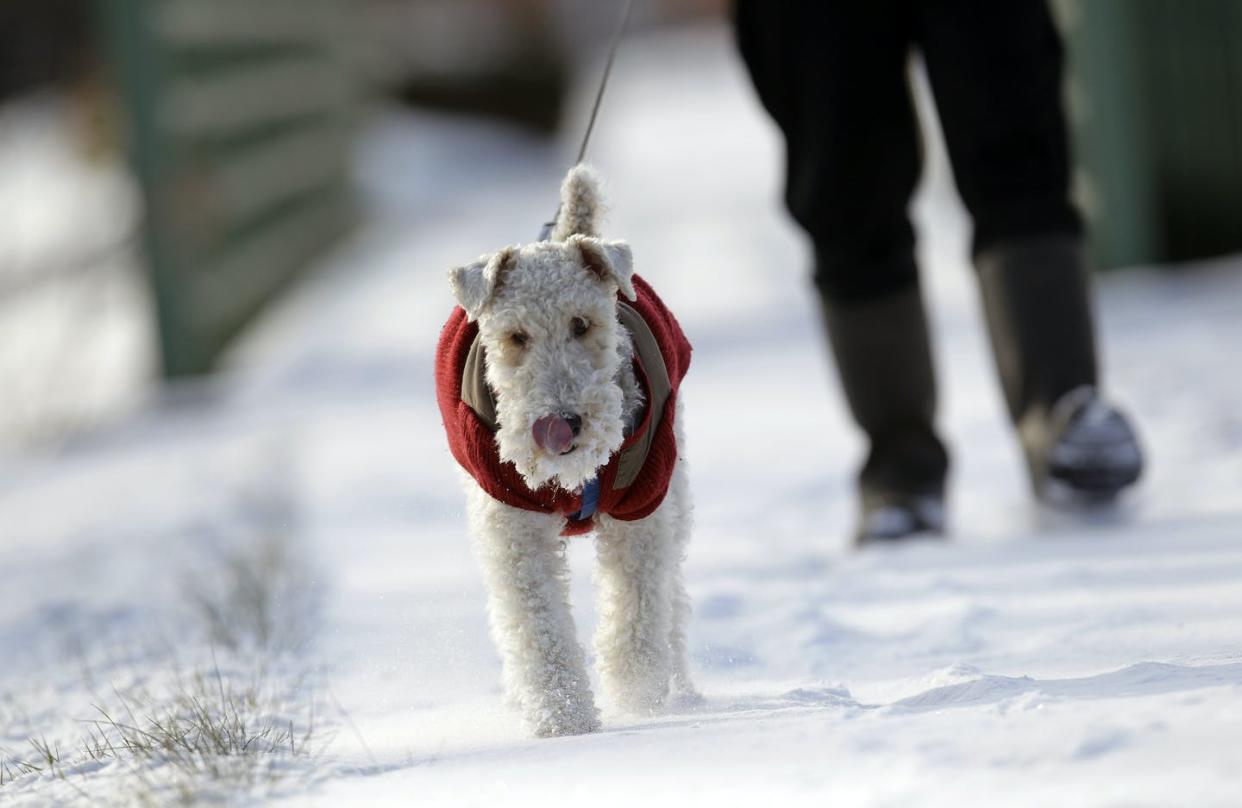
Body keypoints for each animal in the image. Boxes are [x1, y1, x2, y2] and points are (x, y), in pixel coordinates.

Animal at [434, 166, 690, 739]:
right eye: (515, 336)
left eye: (582, 323)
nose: (562, 423)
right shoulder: (511, 527)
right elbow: (537, 625)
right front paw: (564, 720)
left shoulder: (641, 510)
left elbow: (636, 609)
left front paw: (637, 701)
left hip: (676, 492)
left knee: (673, 599)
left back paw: (682, 692)